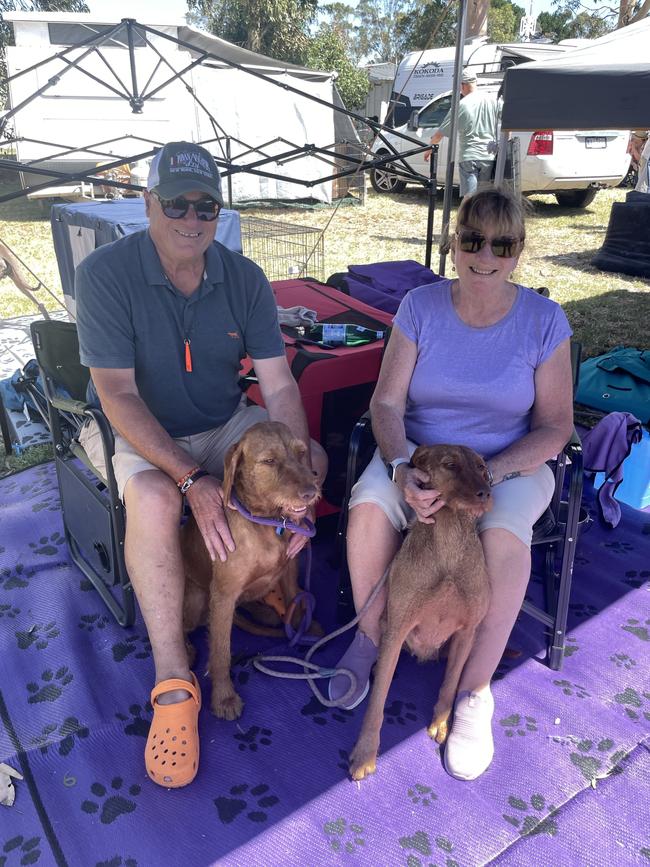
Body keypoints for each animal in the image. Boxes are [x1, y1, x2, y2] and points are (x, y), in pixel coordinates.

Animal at [178, 424, 320, 724]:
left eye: (301, 453)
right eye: (269, 461)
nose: (311, 492)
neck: (265, 524)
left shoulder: (289, 569)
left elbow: (296, 601)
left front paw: (302, 629)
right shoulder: (223, 594)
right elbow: (220, 653)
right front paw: (224, 697)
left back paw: (264, 612)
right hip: (197, 599)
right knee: (184, 624)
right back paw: (186, 647)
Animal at [350, 444, 492, 784]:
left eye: (482, 468)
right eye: (451, 465)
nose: (486, 493)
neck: (449, 545)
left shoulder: (467, 632)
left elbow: (451, 683)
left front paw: (441, 721)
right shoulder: (397, 629)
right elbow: (377, 703)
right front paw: (365, 752)